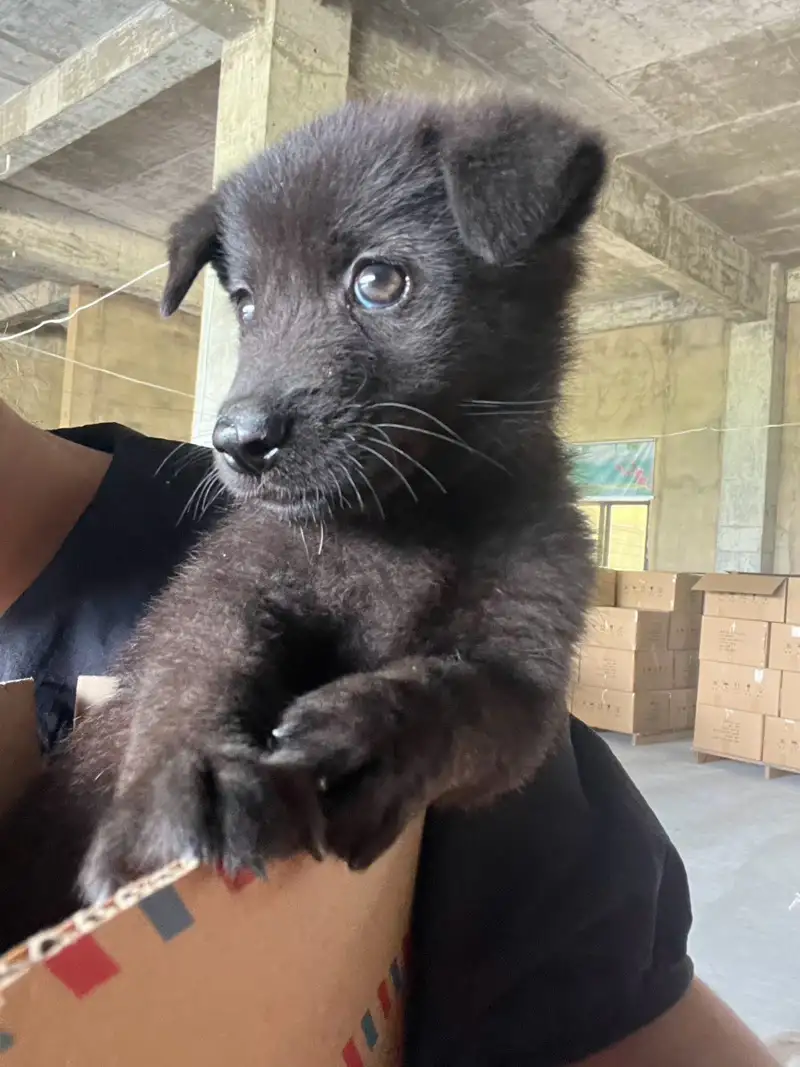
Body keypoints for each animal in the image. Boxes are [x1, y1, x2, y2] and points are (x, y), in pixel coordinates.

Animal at [3, 96, 605, 926]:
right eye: (247, 302)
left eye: (378, 280)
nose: (237, 443)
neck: (405, 519)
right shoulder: (229, 578)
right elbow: (198, 661)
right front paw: (192, 780)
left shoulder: (527, 674)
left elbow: (466, 699)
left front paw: (374, 733)